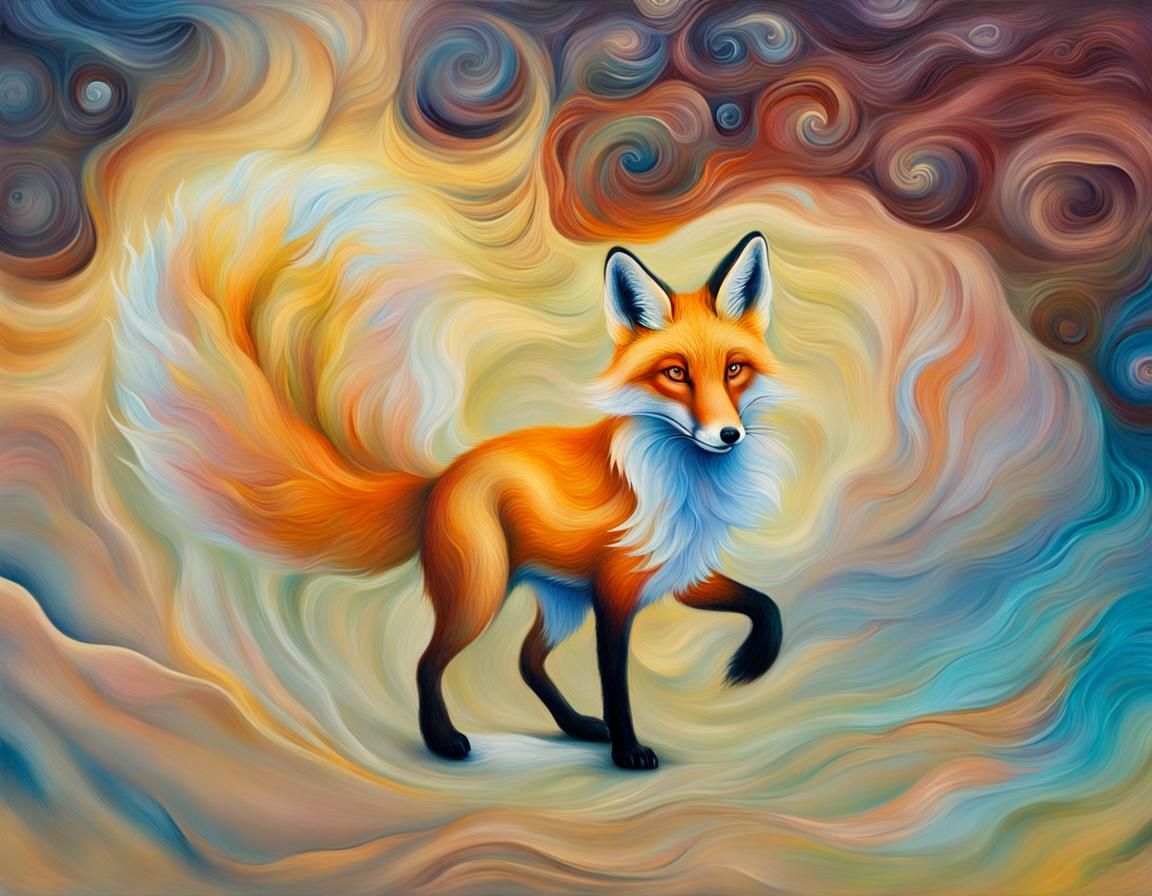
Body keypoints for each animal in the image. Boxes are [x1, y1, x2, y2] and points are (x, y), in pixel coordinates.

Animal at [119, 228, 785, 771]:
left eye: (734, 369)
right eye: (675, 373)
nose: (728, 435)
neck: (688, 485)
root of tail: (443, 474)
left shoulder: (676, 574)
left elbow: (766, 606)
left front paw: (751, 664)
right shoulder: (616, 594)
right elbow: (617, 685)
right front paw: (629, 751)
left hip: (558, 600)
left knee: (526, 661)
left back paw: (574, 727)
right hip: (481, 592)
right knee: (428, 662)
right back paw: (443, 741)